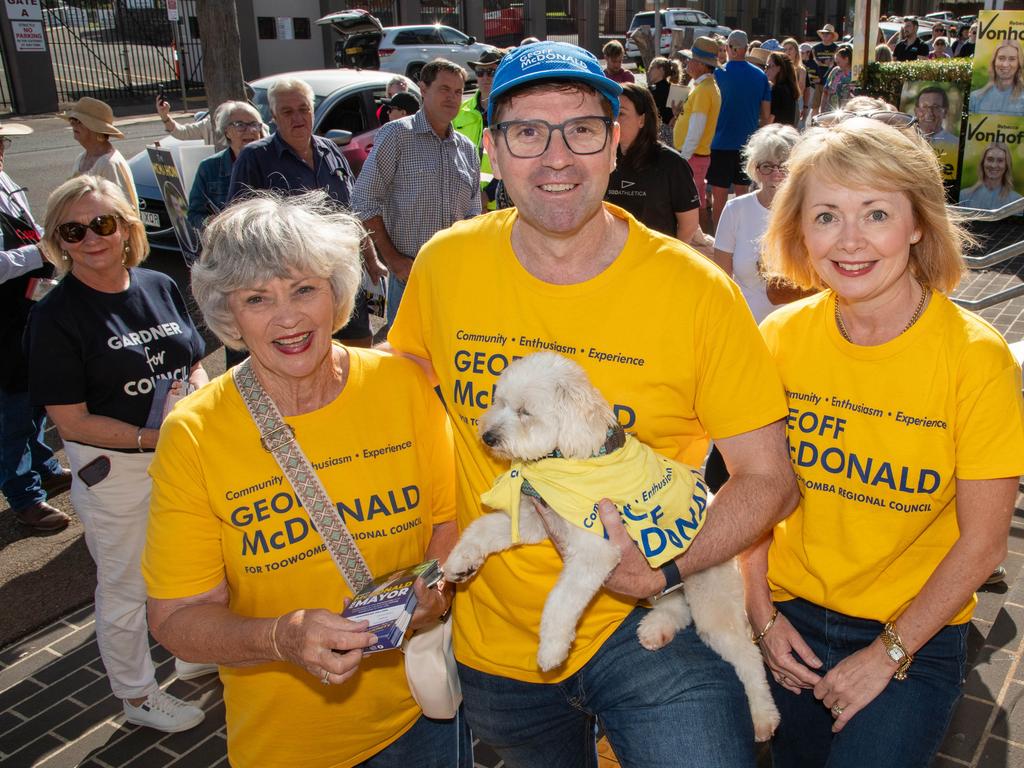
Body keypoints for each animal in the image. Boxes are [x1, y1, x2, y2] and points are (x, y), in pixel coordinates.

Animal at [444, 354, 778, 741]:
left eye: (525, 412)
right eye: (498, 401)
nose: (488, 436)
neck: (572, 460)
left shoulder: (595, 551)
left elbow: (560, 602)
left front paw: (552, 648)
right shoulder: (534, 519)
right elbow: (483, 529)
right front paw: (460, 561)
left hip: (713, 601)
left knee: (747, 657)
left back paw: (763, 717)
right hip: (666, 582)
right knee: (676, 606)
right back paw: (657, 629)